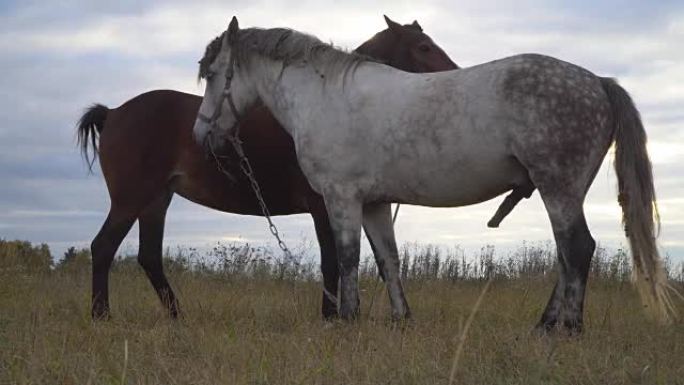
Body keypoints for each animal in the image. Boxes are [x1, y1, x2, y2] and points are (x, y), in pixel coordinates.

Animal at [77, 16, 456, 320]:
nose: (453, 74)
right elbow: (332, 261)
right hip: (130, 199)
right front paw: (330, 315)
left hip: (156, 201)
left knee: (149, 257)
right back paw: (102, 315)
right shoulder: (324, 205)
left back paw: (176, 316)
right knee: (103, 247)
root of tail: (113, 112)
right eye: (423, 47)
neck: (323, 103)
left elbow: (375, 259)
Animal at [192, 16, 672, 332]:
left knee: (578, 249)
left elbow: (347, 259)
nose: (202, 135)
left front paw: (347, 321)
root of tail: (598, 82)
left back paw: (567, 329)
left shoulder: (341, 199)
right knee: (566, 255)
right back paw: (544, 325)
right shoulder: (374, 203)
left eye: (213, 74)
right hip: (565, 192)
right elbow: (388, 261)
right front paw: (401, 320)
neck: (325, 96)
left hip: (559, 188)